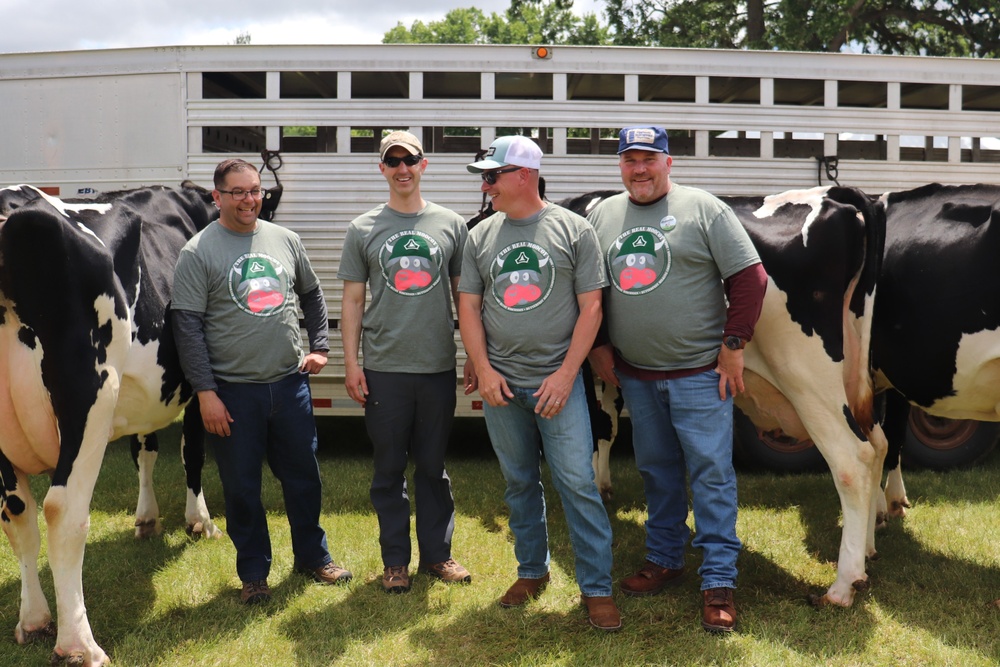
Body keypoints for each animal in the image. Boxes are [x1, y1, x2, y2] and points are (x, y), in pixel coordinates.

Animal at [0, 183, 221, 667]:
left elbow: (145, 449)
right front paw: (199, 521)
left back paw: (34, 619)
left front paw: (147, 517)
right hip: (91, 395)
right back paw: (79, 644)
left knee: (18, 513)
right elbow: (192, 450)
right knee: (62, 511)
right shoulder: (201, 378)